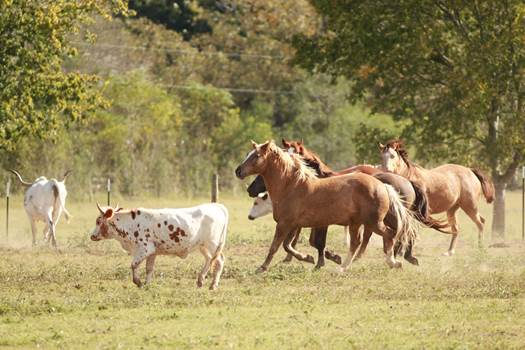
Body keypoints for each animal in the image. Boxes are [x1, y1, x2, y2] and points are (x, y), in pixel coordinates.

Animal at [89, 202, 227, 290]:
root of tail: (217, 206)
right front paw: (147, 284)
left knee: (219, 261)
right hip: (203, 246)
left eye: (98, 221)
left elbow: (134, 265)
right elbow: (149, 269)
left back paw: (213, 285)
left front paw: (138, 282)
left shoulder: (144, 249)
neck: (130, 224)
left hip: (213, 244)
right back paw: (200, 280)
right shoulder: (152, 252)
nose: (92, 236)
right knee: (209, 260)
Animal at [233, 141, 418, 272]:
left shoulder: (285, 224)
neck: (291, 186)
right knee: (360, 242)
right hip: (357, 223)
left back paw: (389, 262)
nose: (238, 171)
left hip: (372, 222)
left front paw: (262, 268)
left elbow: (276, 246)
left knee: (387, 235)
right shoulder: (294, 225)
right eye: (248, 153)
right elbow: (289, 246)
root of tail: (383, 185)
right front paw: (308, 258)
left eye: (256, 155)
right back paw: (348, 267)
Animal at [280, 138, 448, 264]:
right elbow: (309, 240)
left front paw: (329, 257)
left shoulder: (320, 221)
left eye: (297, 153)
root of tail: (407, 181)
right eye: (283, 152)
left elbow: (316, 241)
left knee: (401, 232)